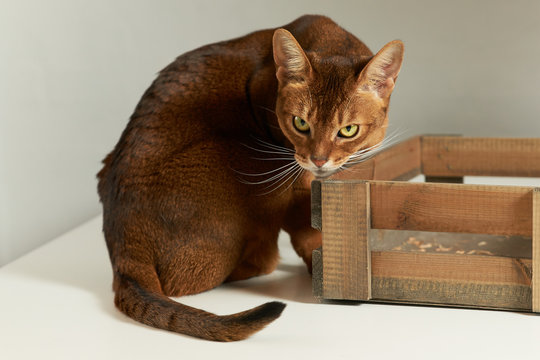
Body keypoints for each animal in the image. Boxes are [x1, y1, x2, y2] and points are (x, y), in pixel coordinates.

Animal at [97, 14, 402, 340]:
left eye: (348, 130)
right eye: (300, 123)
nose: (318, 159)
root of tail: (122, 249)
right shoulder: (293, 174)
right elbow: (306, 230)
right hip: (247, 157)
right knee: (217, 274)